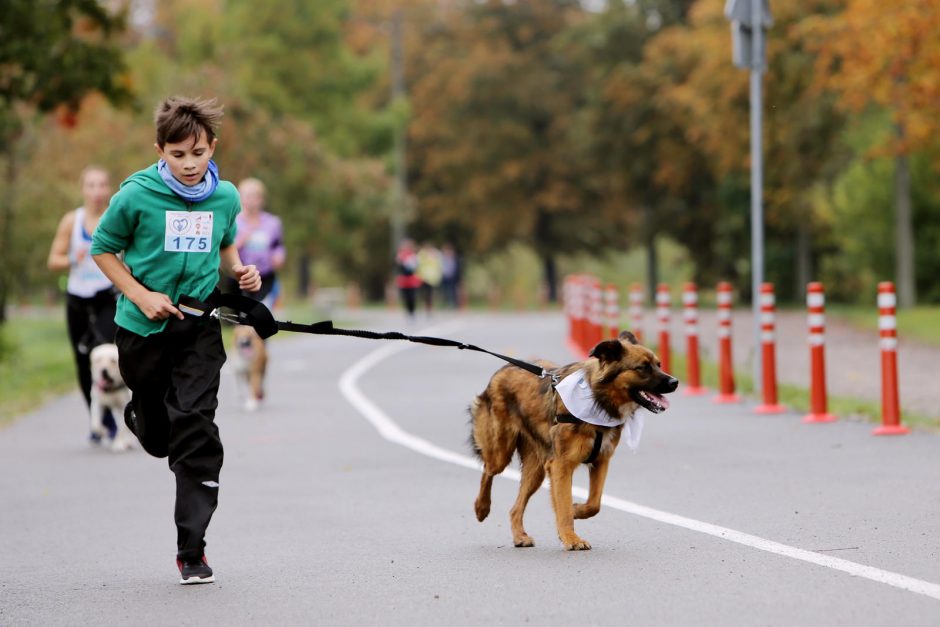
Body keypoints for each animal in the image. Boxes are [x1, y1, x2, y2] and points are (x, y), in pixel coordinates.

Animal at [468, 332, 676, 552]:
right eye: (643, 367)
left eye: (659, 364)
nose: (675, 382)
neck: (597, 398)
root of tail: (503, 368)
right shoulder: (561, 465)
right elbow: (564, 505)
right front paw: (571, 538)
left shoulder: (601, 461)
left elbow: (594, 504)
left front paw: (577, 511)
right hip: (501, 452)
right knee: (488, 470)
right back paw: (481, 507)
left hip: (536, 470)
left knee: (515, 507)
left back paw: (520, 536)